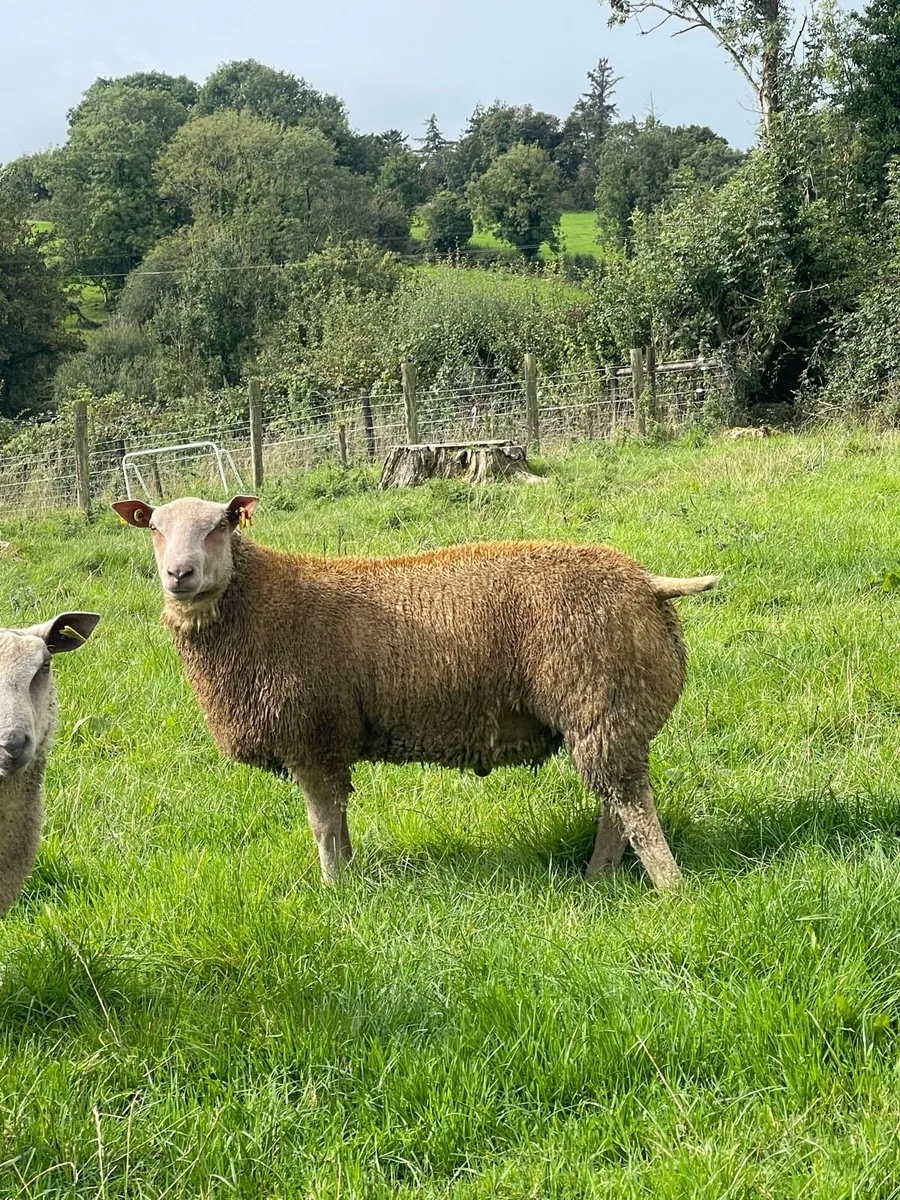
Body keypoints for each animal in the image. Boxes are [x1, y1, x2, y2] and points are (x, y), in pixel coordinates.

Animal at [113, 495, 716, 888]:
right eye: (154, 528)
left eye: (221, 525)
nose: (179, 574)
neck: (263, 602)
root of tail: (646, 582)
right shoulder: (330, 742)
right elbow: (338, 820)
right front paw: (351, 877)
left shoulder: (312, 735)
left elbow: (321, 824)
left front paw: (334, 891)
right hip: (612, 711)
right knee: (616, 805)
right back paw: (599, 878)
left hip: (601, 701)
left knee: (632, 804)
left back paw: (671, 889)